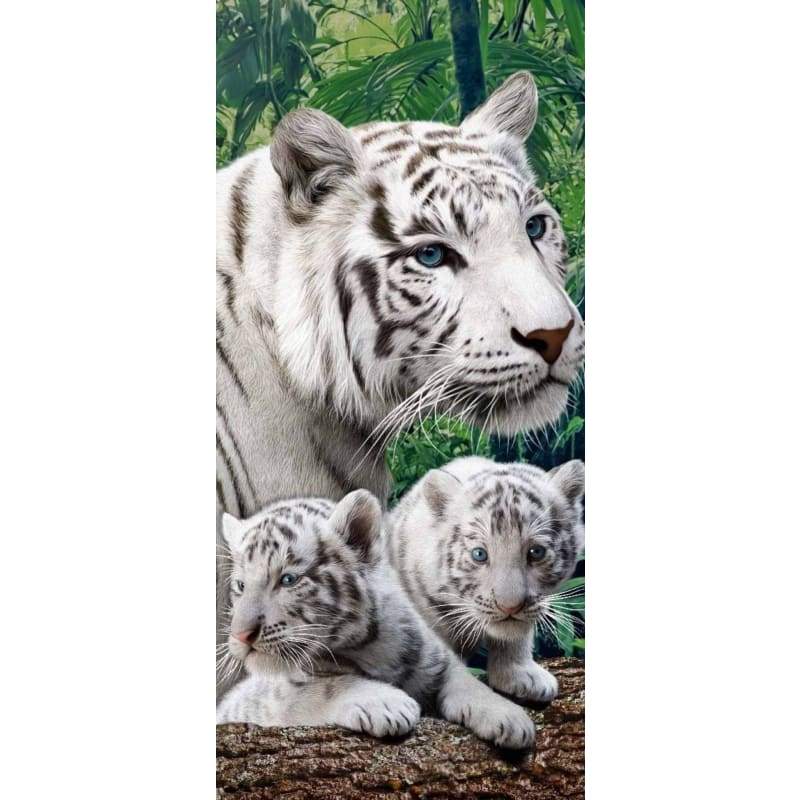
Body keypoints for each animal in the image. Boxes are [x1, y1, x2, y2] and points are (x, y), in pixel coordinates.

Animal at [216, 491, 536, 749]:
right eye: (241, 586)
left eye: (288, 580)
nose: (241, 635)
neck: (368, 646)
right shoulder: (271, 698)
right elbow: (325, 687)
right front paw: (389, 704)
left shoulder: (436, 658)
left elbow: (467, 681)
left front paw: (510, 718)